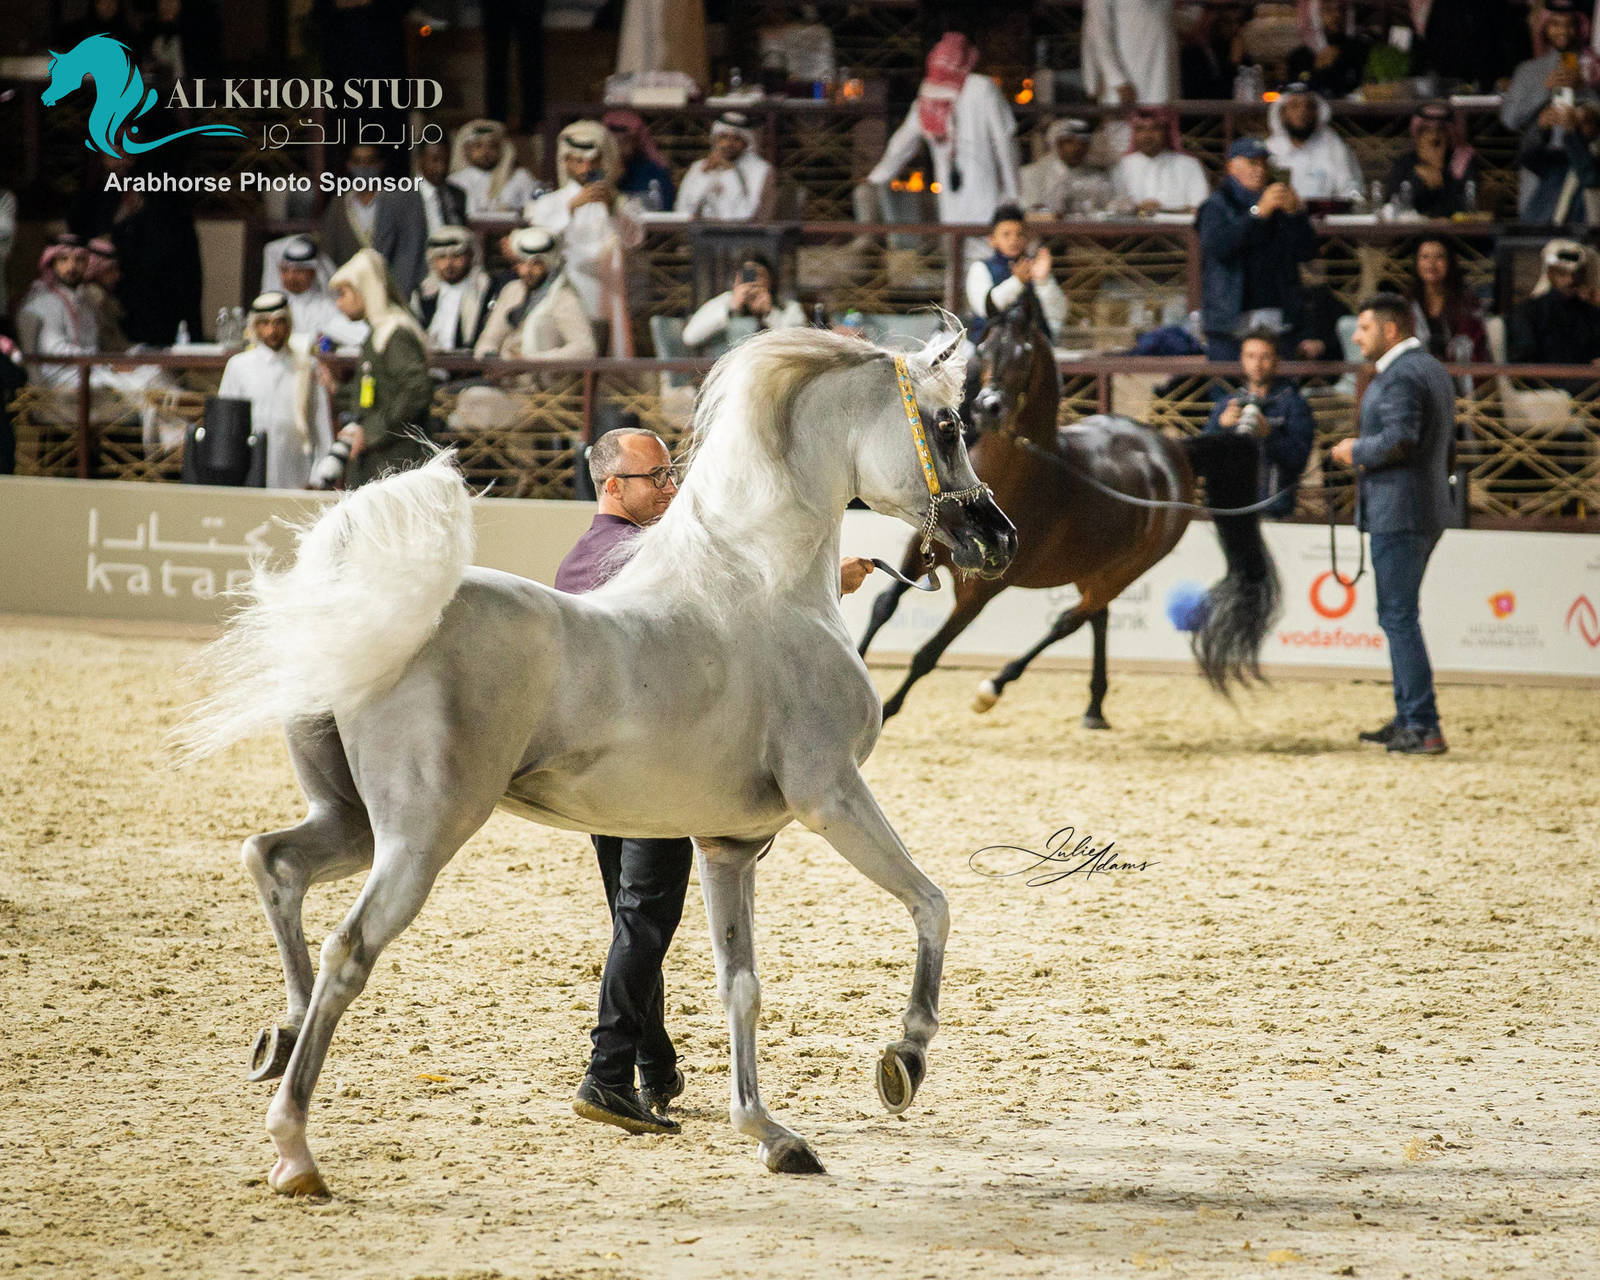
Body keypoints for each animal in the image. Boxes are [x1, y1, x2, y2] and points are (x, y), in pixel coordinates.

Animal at [176, 326, 1016, 1197]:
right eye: (950, 426)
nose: (999, 538)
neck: (765, 588)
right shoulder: (833, 797)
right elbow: (932, 903)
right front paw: (903, 1061)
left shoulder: (728, 845)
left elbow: (740, 986)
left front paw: (771, 1134)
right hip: (420, 837)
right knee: (348, 949)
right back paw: (295, 1149)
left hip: (354, 824)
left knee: (273, 861)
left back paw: (280, 1033)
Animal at [858, 289, 1280, 725]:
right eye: (984, 348)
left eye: (1024, 352)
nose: (988, 407)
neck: (1016, 472)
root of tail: (1176, 449)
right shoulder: (920, 551)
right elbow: (883, 606)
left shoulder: (982, 590)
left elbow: (929, 653)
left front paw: (889, 708)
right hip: (1093, 568)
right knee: (1098, 619)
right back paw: (1094, 706)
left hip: (1122, 573)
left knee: (1070, 621)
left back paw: (996, 686)